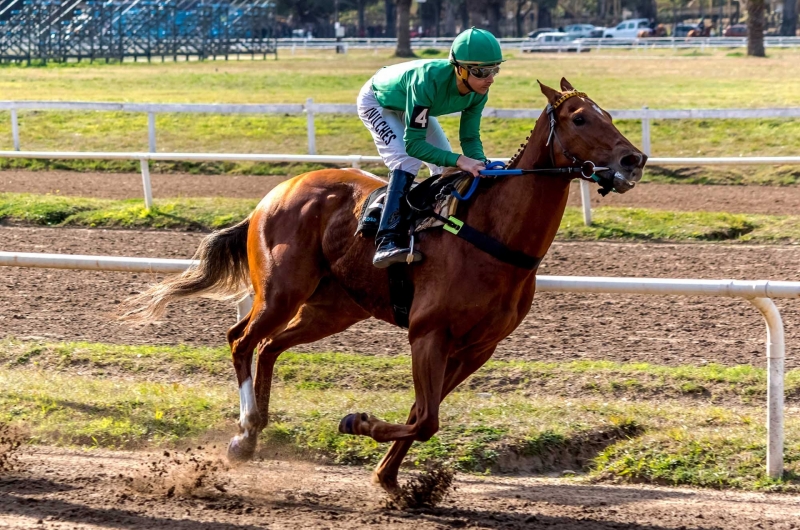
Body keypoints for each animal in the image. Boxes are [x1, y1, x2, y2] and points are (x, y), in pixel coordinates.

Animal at [122, 78, 648, 496]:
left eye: (608, 115)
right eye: (580, 118)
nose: (635, 159)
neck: (494, 235)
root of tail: (273, 195)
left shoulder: (478, 348)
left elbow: (422, 414)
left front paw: (390, 479)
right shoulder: (428, 333)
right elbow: (427, 418)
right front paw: (359, 424)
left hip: (333, 308)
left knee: (269, 346)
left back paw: (253, 437)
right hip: (281, 291)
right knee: (241, 340)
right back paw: (245, 429)